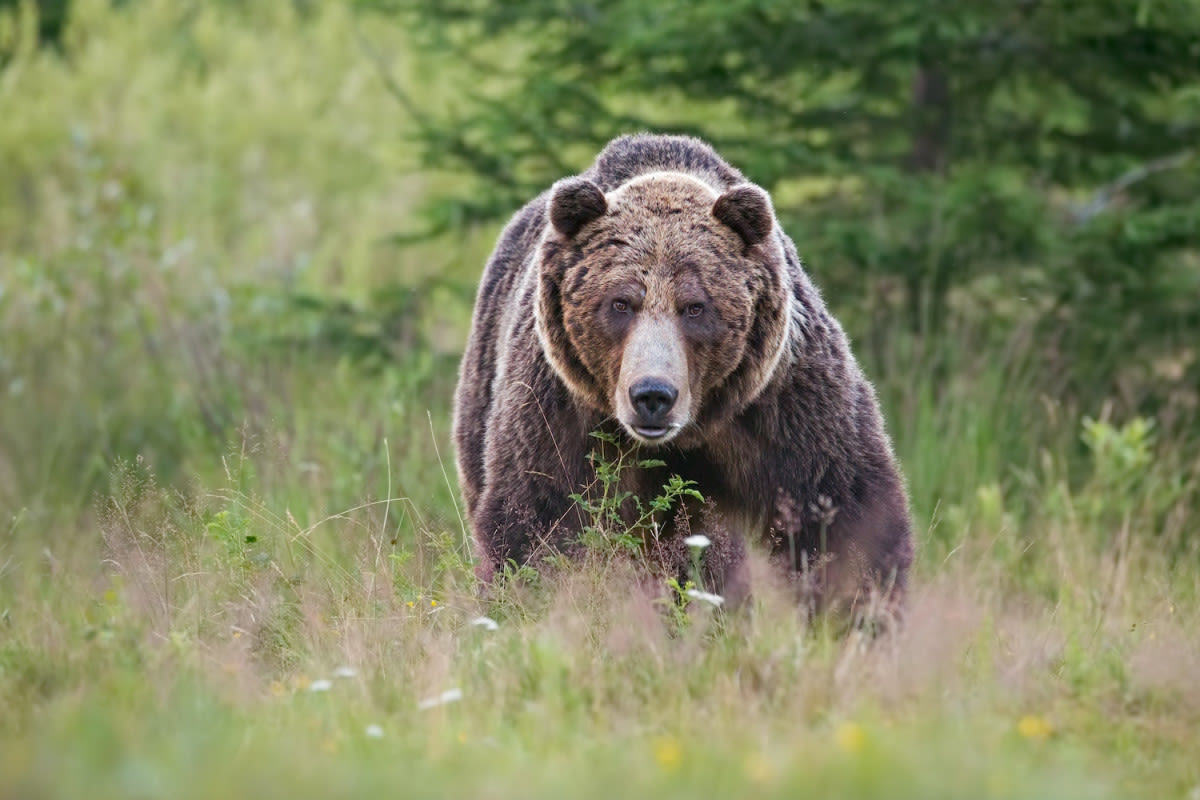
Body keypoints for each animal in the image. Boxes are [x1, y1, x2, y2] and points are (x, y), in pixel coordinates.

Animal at [453, 136, 912, 614]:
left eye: (695, 306)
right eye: (620, 302)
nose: (652, 395)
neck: (690, 430)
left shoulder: (784, 404)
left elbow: (842, 514)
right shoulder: (561, 412)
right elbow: (538, 521)